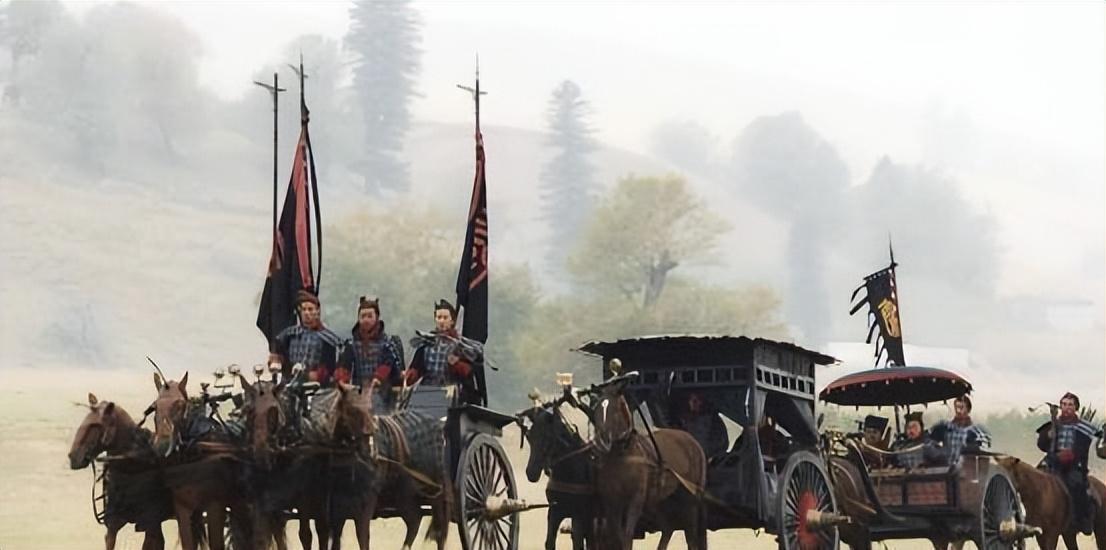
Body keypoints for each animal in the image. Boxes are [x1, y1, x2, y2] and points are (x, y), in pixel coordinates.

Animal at [327, 378, 449, 548]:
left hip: (434, 490)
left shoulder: (366, 500)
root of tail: (437, 425)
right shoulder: (337, 504)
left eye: (370, 408)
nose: (370, 444)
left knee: (439, 527)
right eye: (352, 409)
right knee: (415, 519)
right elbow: (337, 537)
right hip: (403, 493)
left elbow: (362, 535)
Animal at [517, 398, 597, 548]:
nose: (531, 473)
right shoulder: (554, 511)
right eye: (529, 436)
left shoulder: (579, 515)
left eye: (547, 437)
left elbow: (577, 543)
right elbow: (549, 542)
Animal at [592, 378, 703, 548]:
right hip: (660, 502)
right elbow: (617, 535)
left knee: (691, 536)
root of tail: (693, 442)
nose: (602, 441)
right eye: (597, 409)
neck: (623, 456)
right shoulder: (612, 502)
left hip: (690, 500)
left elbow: (627, 535)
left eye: (615, 409)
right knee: (668, 528)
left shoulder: (635, 500)